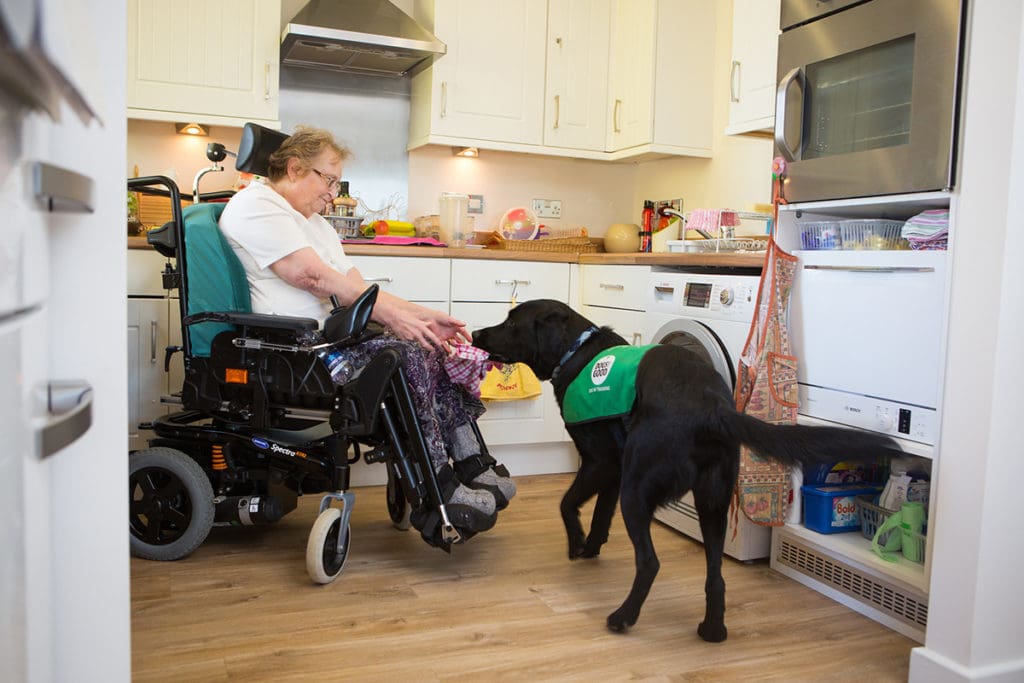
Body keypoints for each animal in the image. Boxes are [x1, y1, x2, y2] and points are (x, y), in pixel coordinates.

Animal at [471, 299, 897, 643]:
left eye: (511, 322)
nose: (475, 332)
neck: (574, 350)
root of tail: (711, 408)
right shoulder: (614, 471)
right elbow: (600, 515)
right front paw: (591, 546)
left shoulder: (599, 462)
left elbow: (566, 503)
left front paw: (576, 544)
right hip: (712, 503)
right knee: (716, 575)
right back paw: (712, 630)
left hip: (639, 492)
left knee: (650, 563)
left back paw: (623, 617)